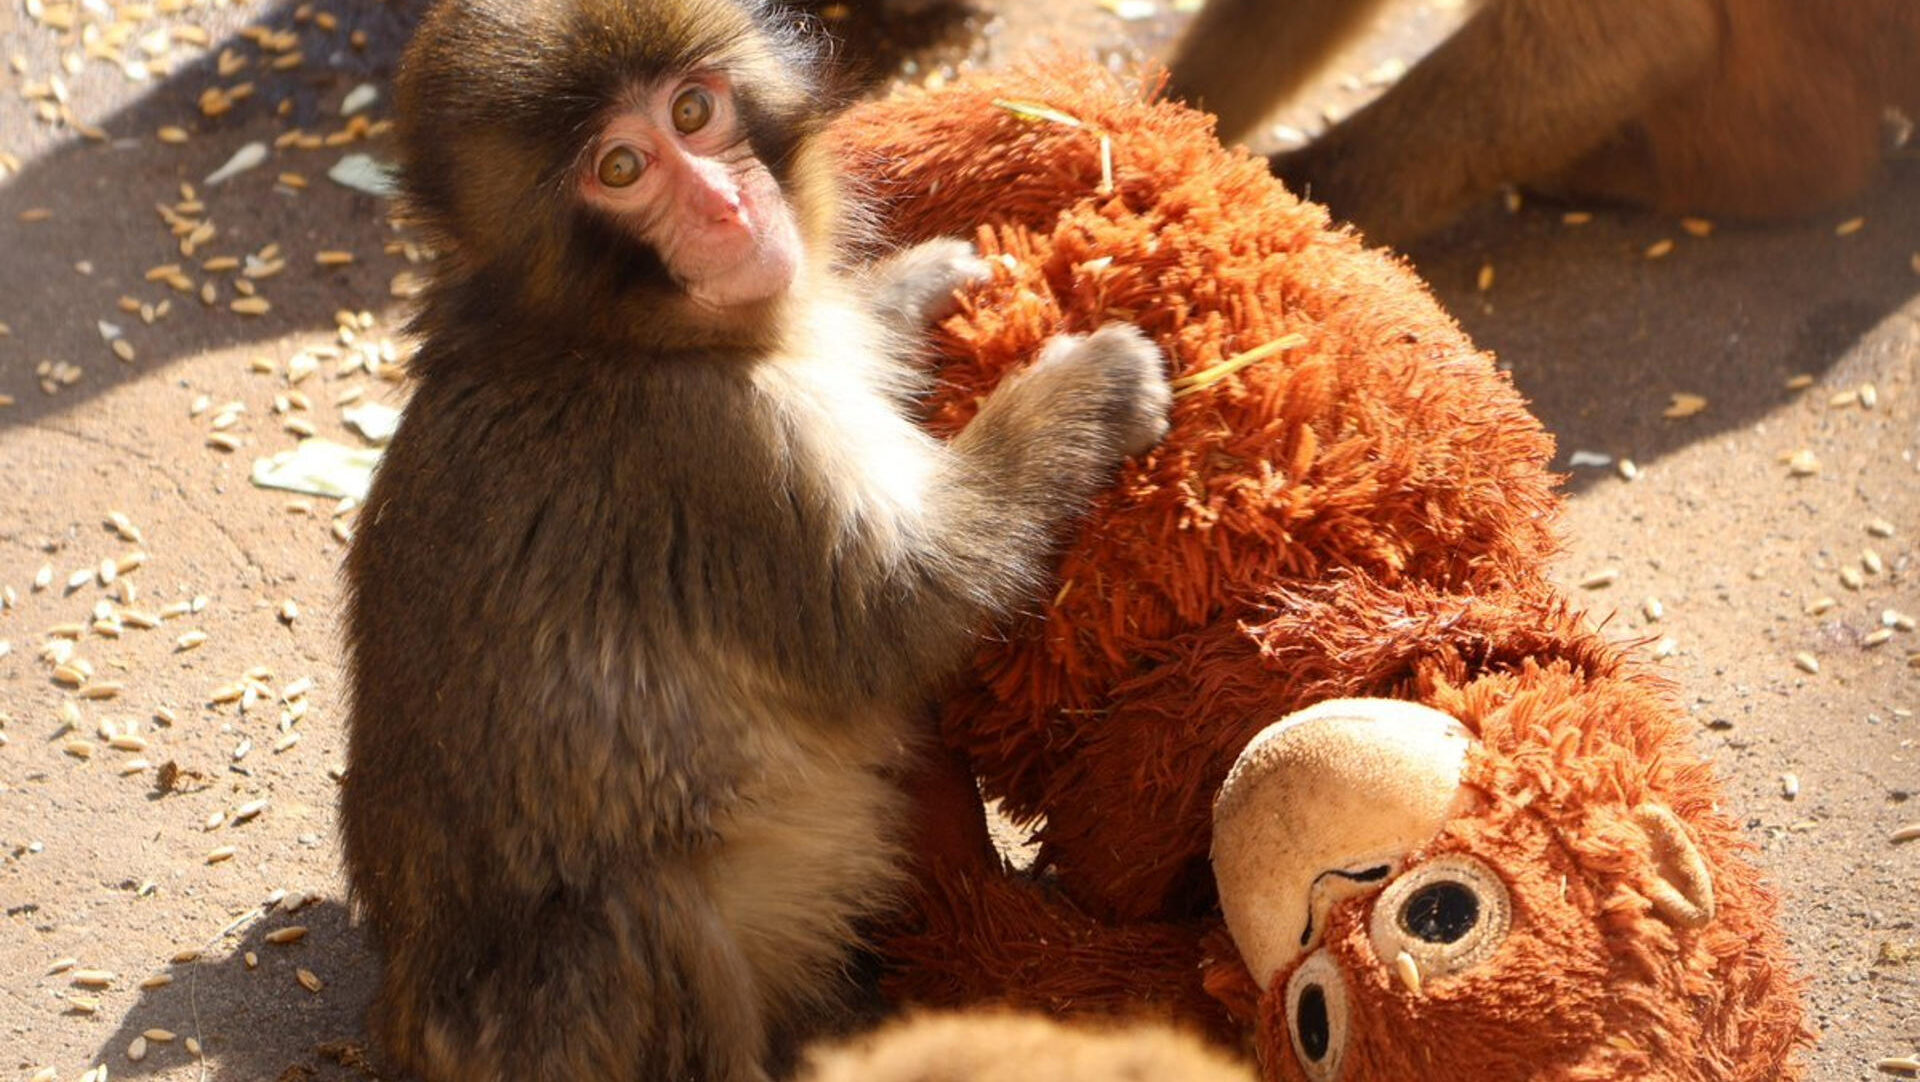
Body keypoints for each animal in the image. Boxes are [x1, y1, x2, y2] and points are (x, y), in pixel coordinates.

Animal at [336, 1, 1172, 1080]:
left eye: (694, 111)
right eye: (620, 168)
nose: (728, 209)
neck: (606, 334)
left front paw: (913, 285)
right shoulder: (717, 447)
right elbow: (900, 610)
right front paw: (1090, 387)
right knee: (640, 914)